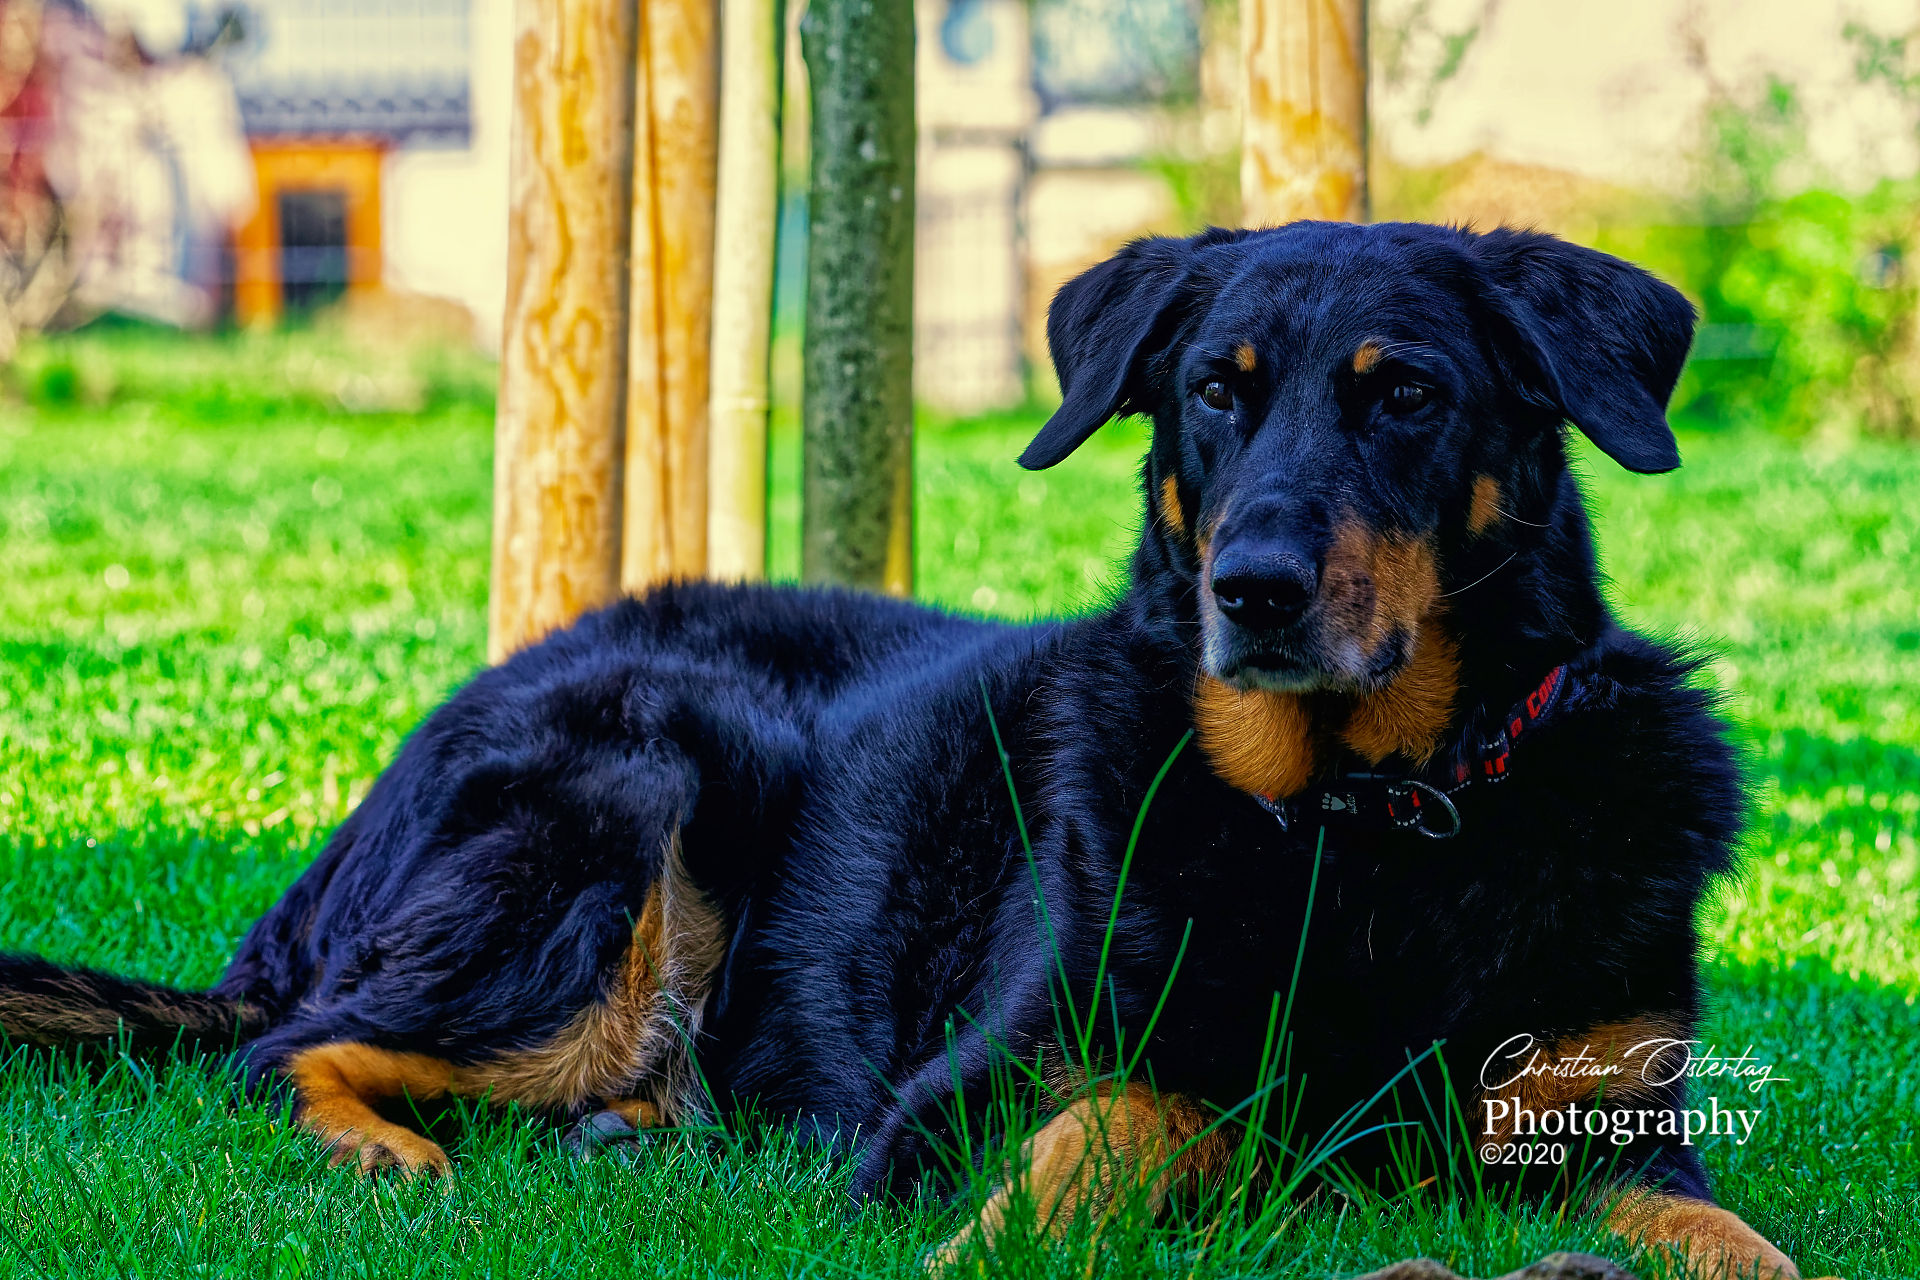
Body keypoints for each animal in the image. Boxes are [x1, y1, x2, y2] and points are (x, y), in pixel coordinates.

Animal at [1, 221, 1810, 1278]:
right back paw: (390, 1151)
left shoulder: (1610, 1132)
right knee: (283, 1052)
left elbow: (1739, 1242)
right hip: (635, 801)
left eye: (1408, 394)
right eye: (1213, 393)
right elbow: (1107, 1148)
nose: (1252, 590)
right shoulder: (975, 1100)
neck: (1366, 820)